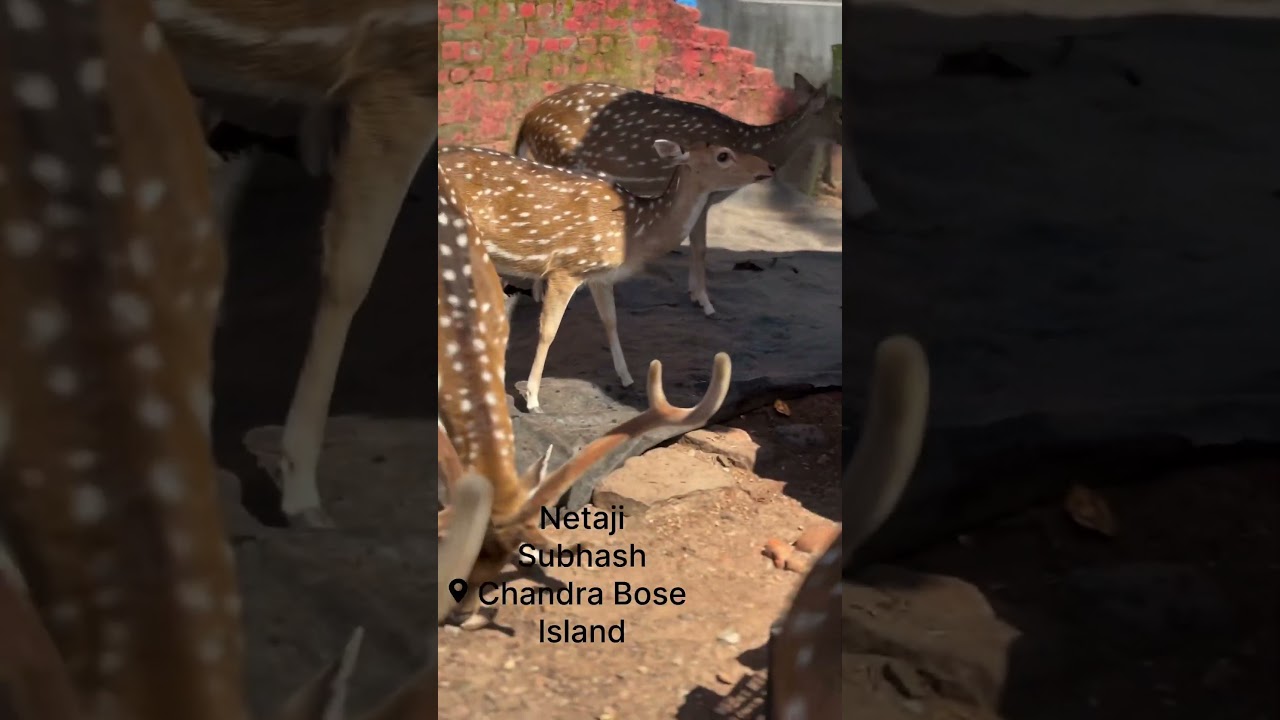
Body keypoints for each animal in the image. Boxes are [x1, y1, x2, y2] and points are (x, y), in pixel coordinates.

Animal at [438, 140, 774, 414]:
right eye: (723, 155)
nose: (768, 166)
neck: (635, 231)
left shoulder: (599, 276)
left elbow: (611, 320)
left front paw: (626, 377)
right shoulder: (567, 267)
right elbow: (548, 331)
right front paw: (532, 399)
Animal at [513, 73, 846, 317]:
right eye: (841, 115)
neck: (752, 140)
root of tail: (528, 119)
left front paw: (695, 294)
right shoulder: (707, 196)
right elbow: (701, 247)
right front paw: (705, 302)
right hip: (559, 161)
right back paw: (540, 292)